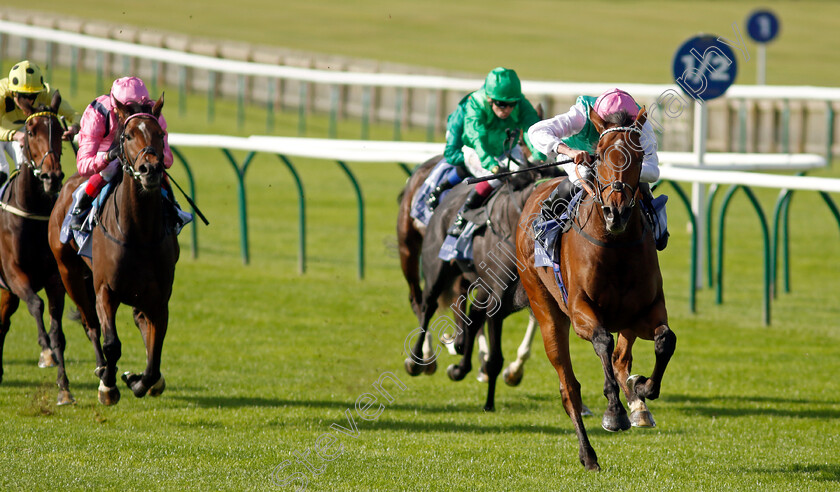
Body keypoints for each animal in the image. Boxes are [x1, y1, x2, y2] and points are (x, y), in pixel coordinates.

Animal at [48, 94, 179, 406]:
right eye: (128, 135)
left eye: (161, 134)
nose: (150, 169)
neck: (139, 233)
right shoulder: (105, 289)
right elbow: (112, 343)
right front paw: (108, 385)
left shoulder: (160, 297)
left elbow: (155, 355)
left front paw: (138, 381)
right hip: (69, 273)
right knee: (91, 324)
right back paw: (101, 370)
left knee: (141, 323)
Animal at [516, 106, 680, 468]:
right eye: (601, 153)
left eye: (639, 154)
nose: (615, 212)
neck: (615, 247)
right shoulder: (580, 312)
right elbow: (603, 341)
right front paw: (614, 413)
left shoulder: (646, 311)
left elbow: (665, 340)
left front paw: (642, 388)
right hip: (546, 310)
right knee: (569, 389)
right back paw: (588, 453)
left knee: (621, 358)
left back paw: (637, 401)